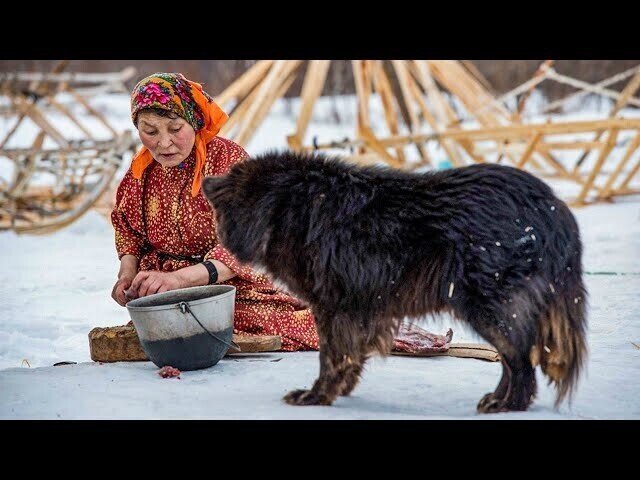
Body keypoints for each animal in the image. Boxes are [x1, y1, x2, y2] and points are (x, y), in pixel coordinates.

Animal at [202, 151, 588, 412]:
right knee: (513, 358)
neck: (288, 207)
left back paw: (509, 405)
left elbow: (332, 357)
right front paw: (339, 391)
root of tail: (552, 206)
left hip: (487, 307)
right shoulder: (354, 309)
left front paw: (316, 396)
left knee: (519, 357)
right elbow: (349, 358)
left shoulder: (333, 306)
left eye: (234, 176)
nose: (205, 181)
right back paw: (497, 399)